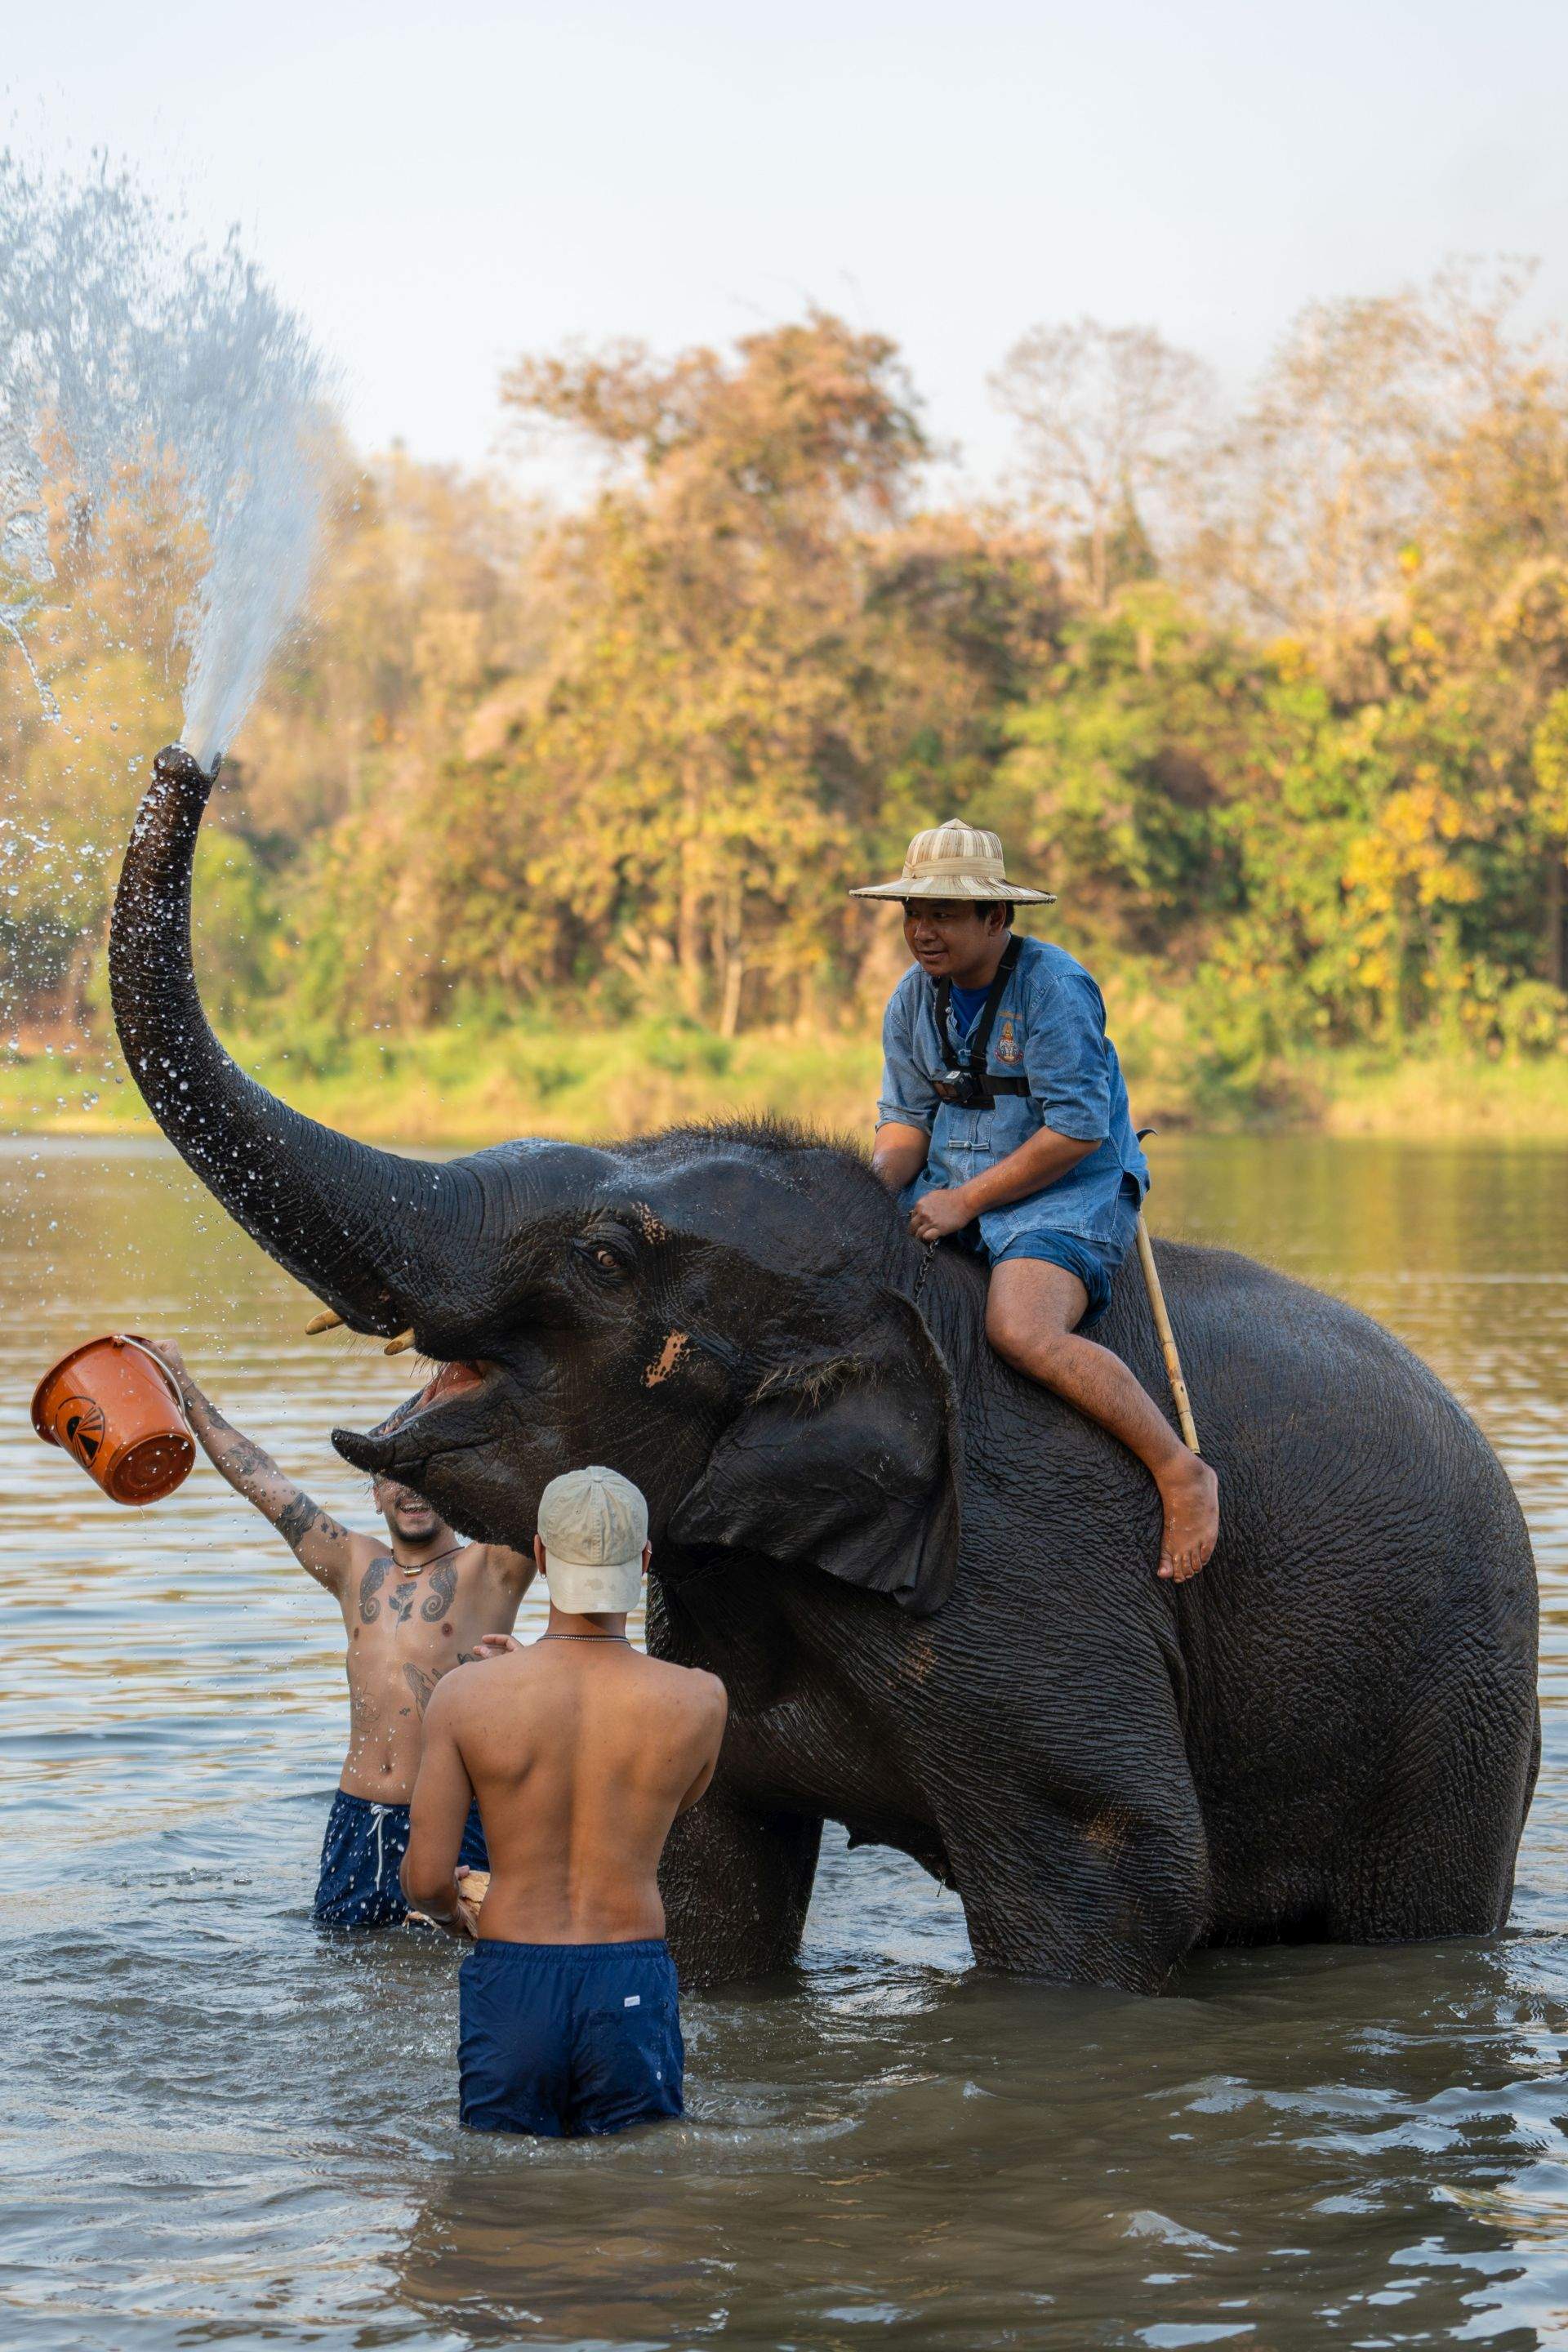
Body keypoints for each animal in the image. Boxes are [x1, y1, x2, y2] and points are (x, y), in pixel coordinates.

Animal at [113, 743, 1542, 1994]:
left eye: (604, 1259)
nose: (186, 764)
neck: (905, 1291)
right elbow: (699, 1877)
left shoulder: (1030, 1567)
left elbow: (1121, 1871)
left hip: (1457, 1713)